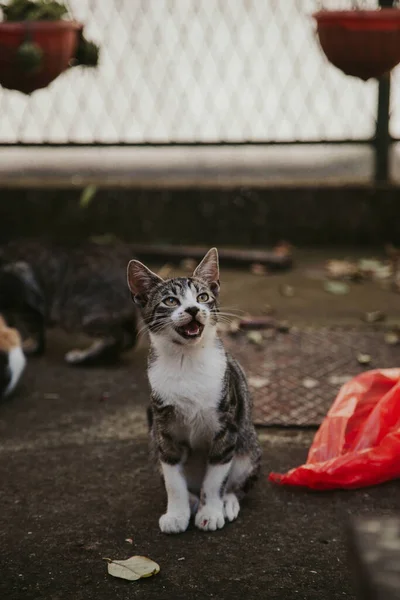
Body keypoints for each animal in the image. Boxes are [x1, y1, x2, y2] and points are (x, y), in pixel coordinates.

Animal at [0, 240, 139, 366]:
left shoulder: (26, 305)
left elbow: (33, 329)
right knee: (130, 339)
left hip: (78, 312)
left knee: (116, 337)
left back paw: (81, 357)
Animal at [126, 248, 260, 536]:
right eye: (170, 300)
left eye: (203, 297)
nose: (192, 309)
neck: (185, 360)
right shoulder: (164, 432)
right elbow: (173, 480)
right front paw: (177, 513)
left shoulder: (227, 427)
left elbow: (216, 477)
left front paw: (211, 512)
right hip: (153, 441)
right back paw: (191, 499)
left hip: (248, 444)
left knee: (237, 479)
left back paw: (227, 501)